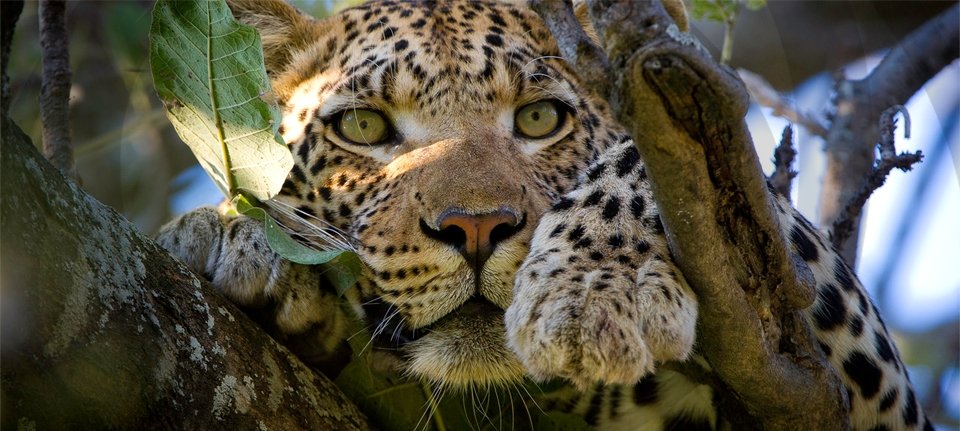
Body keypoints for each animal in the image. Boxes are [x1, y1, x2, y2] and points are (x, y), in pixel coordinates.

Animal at [156, 0, 932, 429]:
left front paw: (592, 291)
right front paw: (230, 231)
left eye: (538, 118)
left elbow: (644, 154)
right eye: (365, 129)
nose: (475, 229)